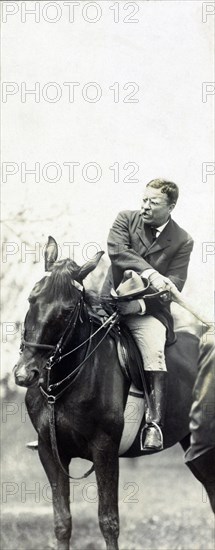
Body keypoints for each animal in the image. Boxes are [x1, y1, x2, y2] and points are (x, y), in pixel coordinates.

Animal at [13, 237, 215, 550]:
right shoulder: (50, 452)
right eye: (32, 299)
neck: (62, 387)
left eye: (67, 310)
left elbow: (108, 521)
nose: (25, 373)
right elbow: (62, 521)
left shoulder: (105, 451)